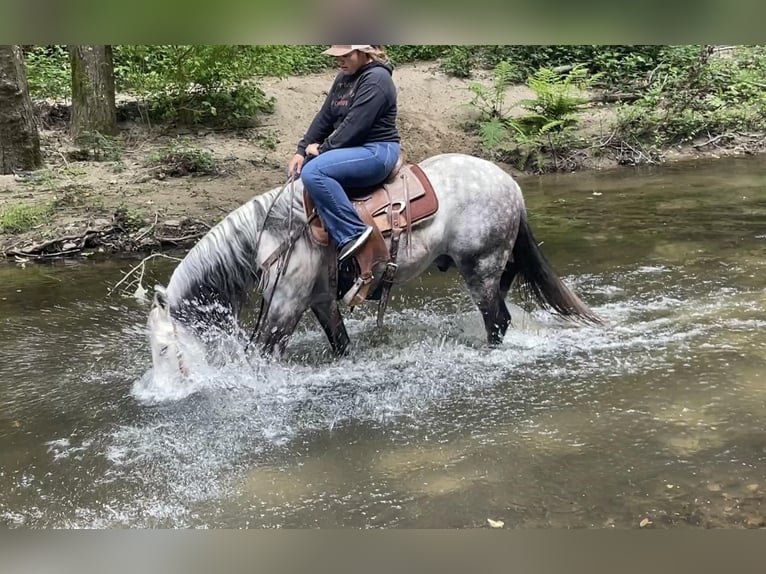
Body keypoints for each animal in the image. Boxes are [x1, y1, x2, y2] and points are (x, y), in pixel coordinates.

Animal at [147, 153, 604, 382]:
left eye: (165, 347)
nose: (163, 390)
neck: (275, 231)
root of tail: (510, 184)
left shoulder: (286, 305)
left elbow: (265, 354)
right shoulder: (319, 300)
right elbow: (340, 344)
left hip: (480, 266)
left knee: (497, 320)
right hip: (492, 263)